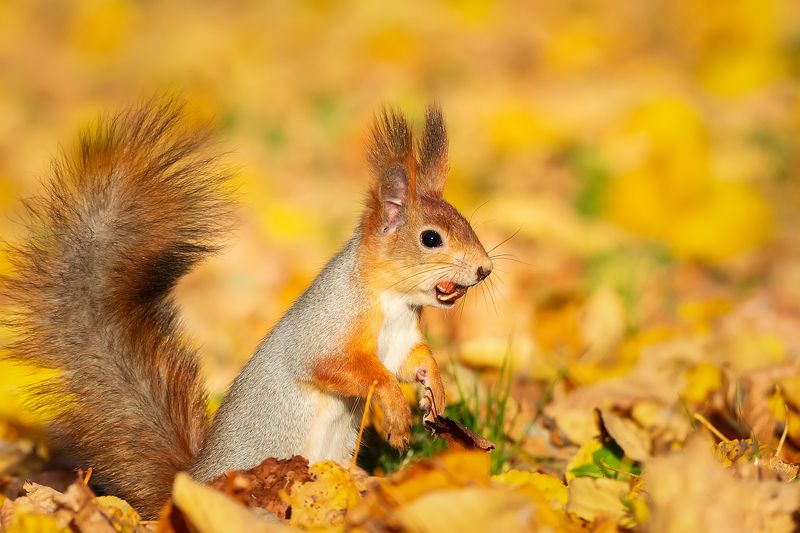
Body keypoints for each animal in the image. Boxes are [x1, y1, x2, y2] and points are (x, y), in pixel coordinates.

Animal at [1, 99, 493, 518]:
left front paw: (435, 389)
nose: (485, 268)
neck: (393, 301)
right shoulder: (328, 331)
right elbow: (350, 369)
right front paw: (395, 412)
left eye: (465, 221)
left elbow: (415, 361)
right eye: (431, 238)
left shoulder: (403, 341)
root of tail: (191, 487)